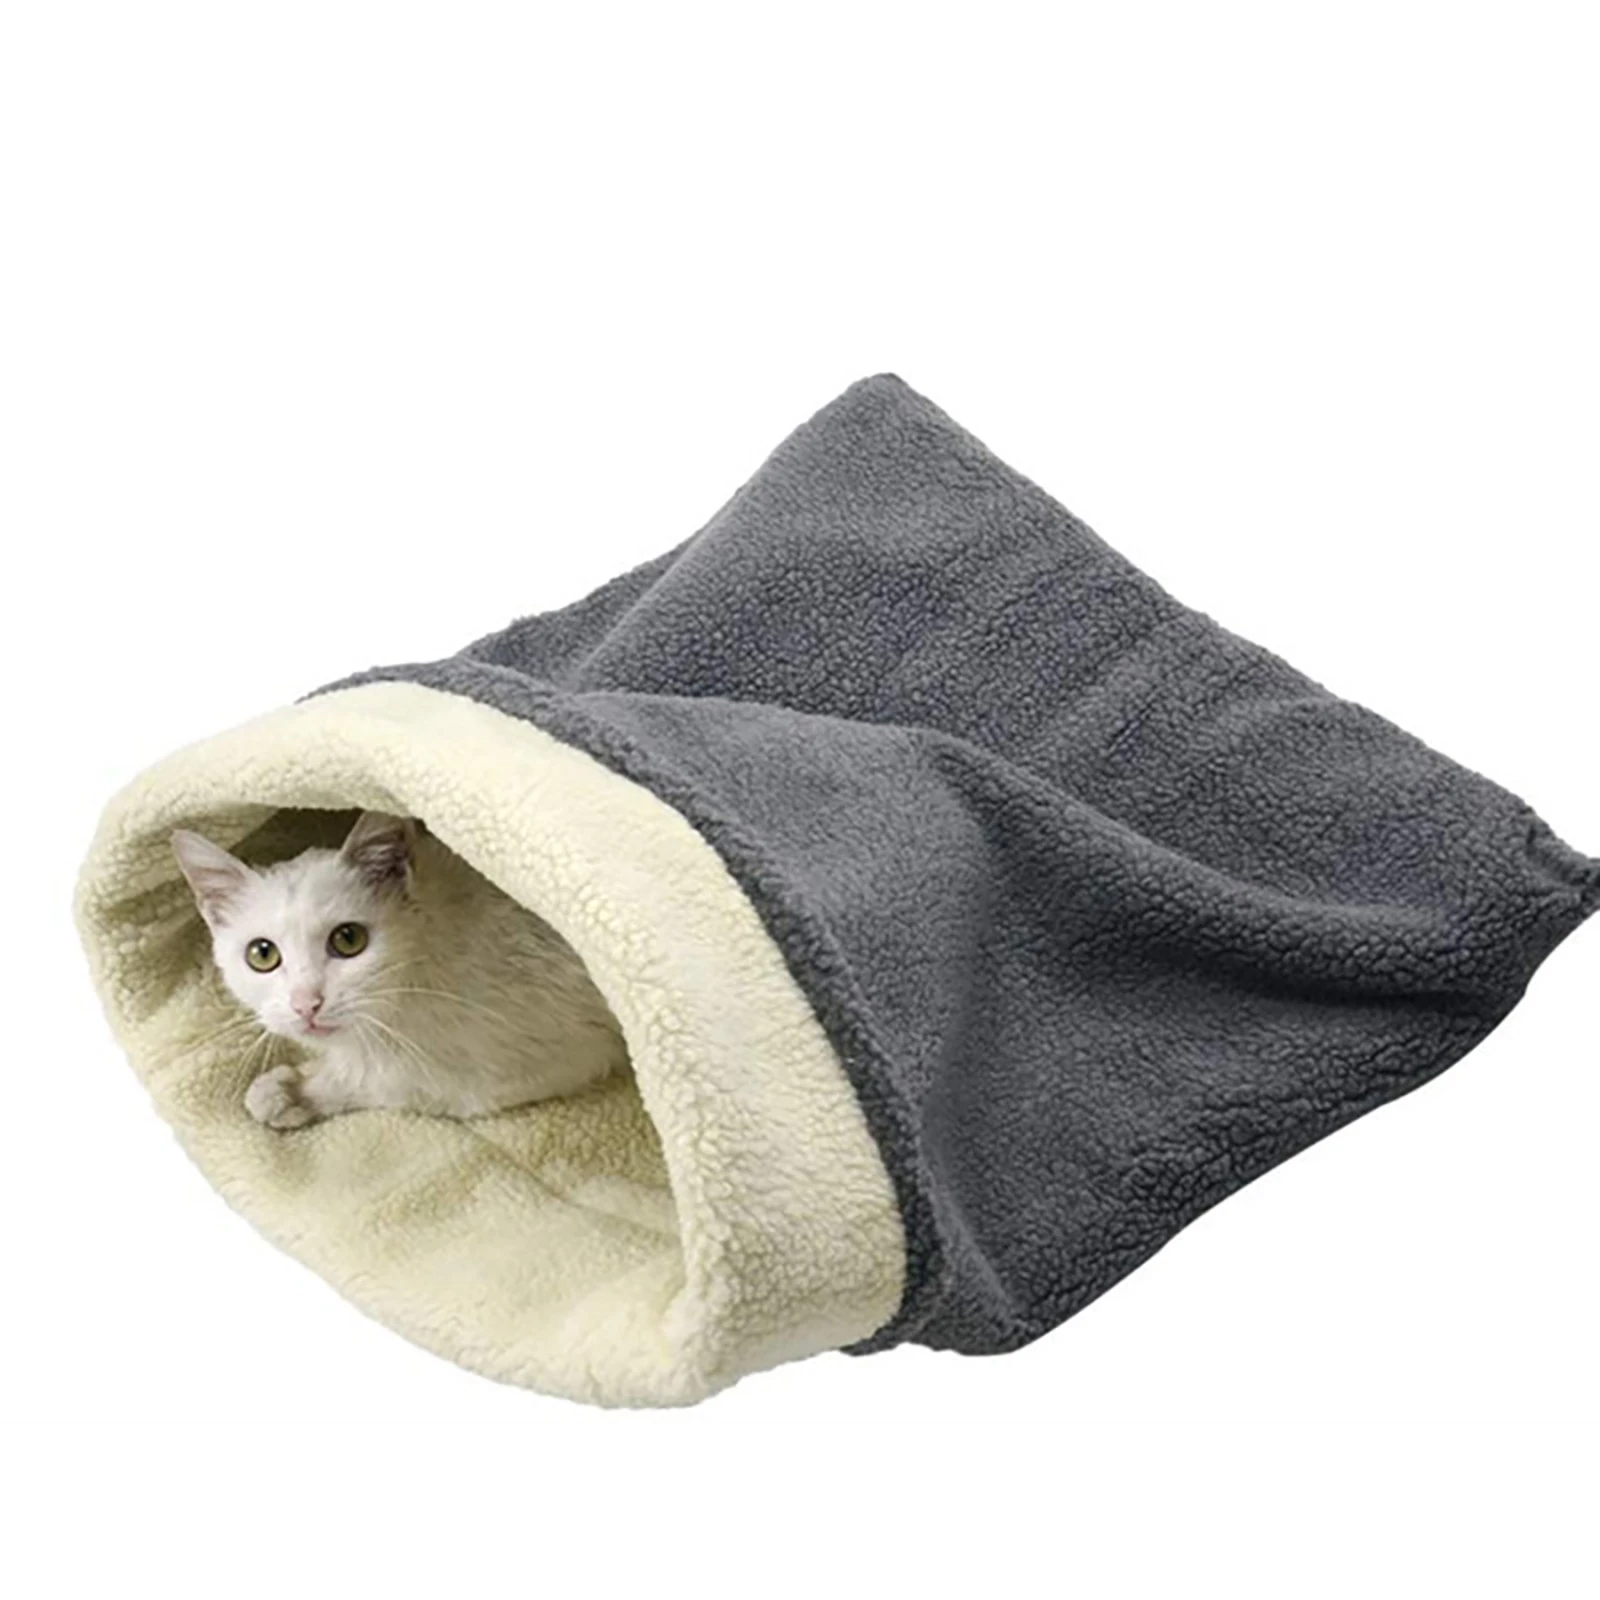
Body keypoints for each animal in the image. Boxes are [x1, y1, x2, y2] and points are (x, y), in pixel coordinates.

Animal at [171, 811, 627, 1129]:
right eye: (262, 954)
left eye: (348, 939)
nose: (306, 1004)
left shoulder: (558, 1054)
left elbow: (402, 1084)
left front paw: (296, 1092)